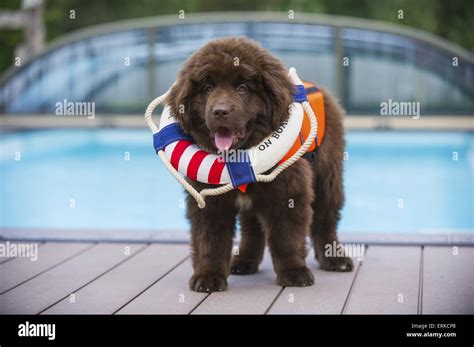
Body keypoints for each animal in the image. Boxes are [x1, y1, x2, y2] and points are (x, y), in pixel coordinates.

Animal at [167, 36, 352, 292]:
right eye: (207, 88)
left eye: (243, 88)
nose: (220, 111)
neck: (240, 154)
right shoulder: (208, 200)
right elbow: (209, 239)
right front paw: (208, 275)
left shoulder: (288, 192)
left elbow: (287, 236)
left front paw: (294, 272)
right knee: (252, 227)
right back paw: (244, 261)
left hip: (327, 175)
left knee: (326, 219)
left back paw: (335, 259)